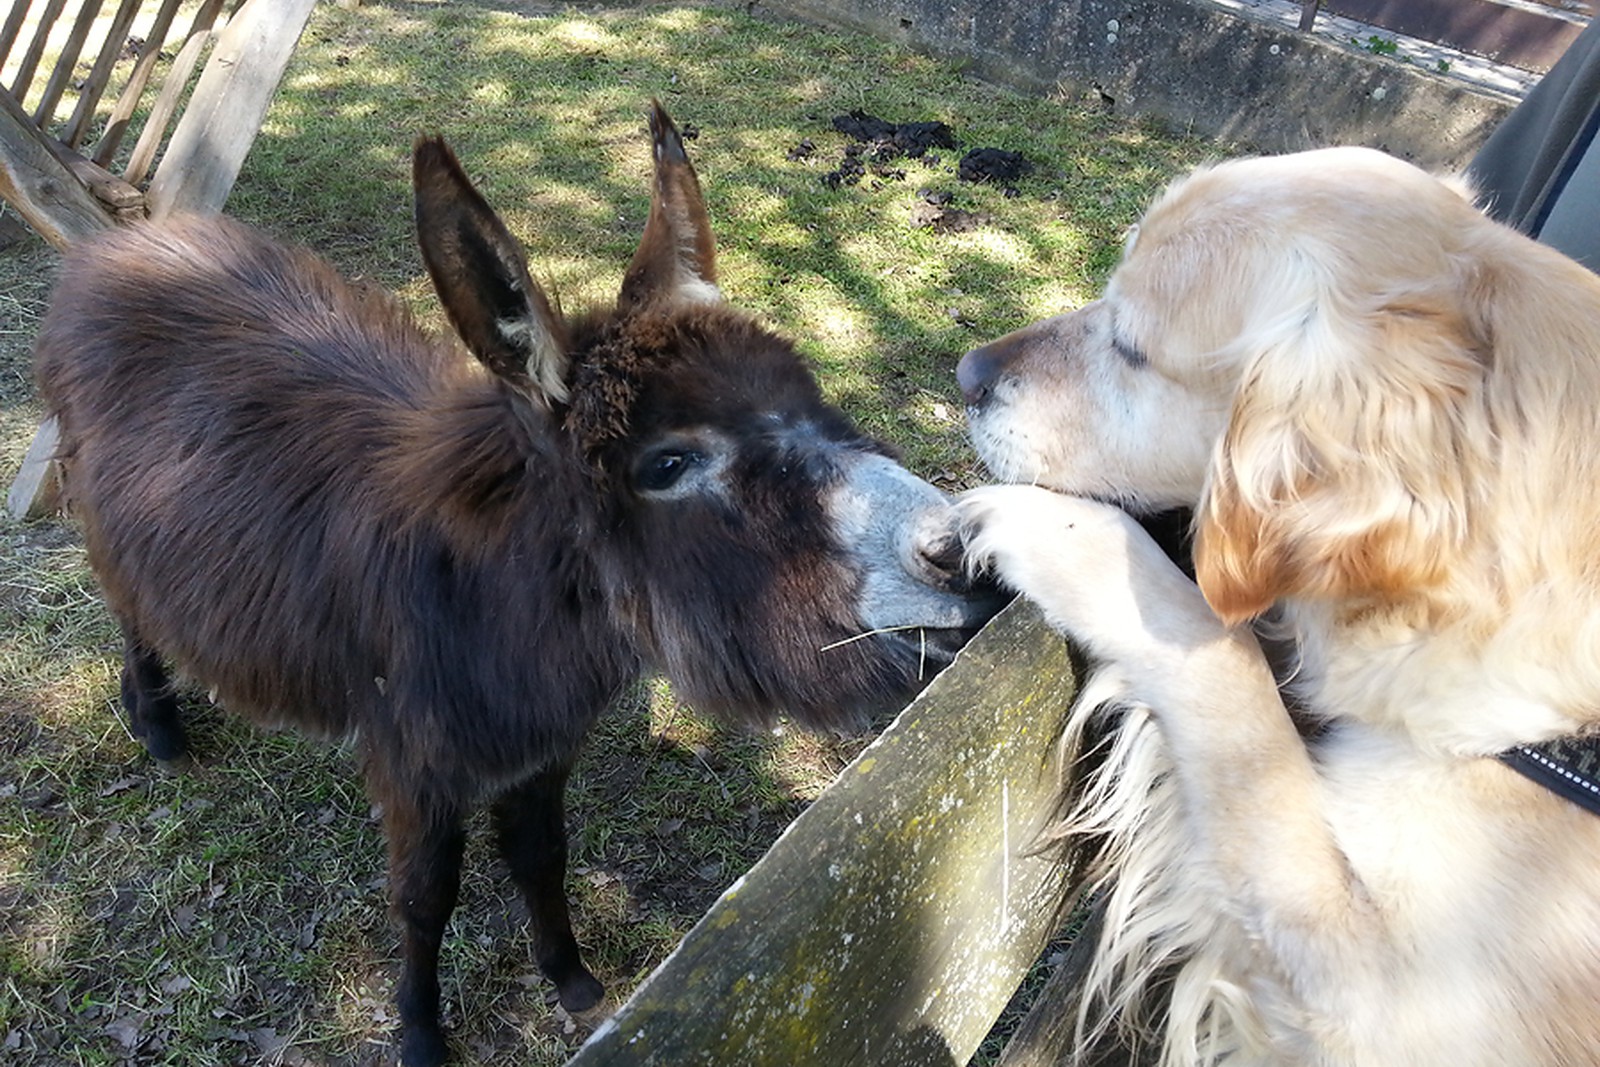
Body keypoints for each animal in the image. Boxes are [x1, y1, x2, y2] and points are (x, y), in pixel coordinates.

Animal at [33, 103, 997, 1066]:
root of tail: (128, 241)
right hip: (102, 515)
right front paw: (421, 1029)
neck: (503, 597)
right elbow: (425, 897)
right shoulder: (415, 760)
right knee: (129, 609)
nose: (968, 558)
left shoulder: (539, 744)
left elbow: (542, 856)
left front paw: (570, 978)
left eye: (811, 395)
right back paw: (158, 724)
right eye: (667, 464)